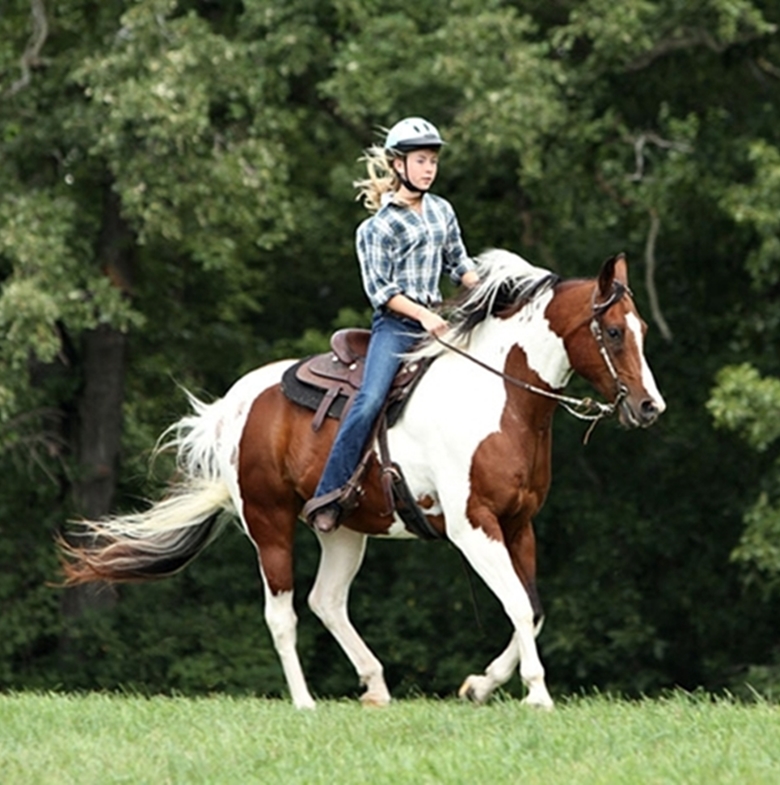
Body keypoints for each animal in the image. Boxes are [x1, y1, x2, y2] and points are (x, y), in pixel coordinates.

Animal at [59, 250, 664, 712]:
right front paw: (536, 694)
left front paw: (479, 685)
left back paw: (375, 685)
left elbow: (532, 610)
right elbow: (515, 603)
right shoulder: (473, 527)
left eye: (641, 330)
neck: (499, 399)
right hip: (268, 522)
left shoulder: (519, 524)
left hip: (343, 529)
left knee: (327, 599)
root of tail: (234, 405)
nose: (649, 407)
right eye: (613, 331)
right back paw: (305, 702)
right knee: (282, 613)